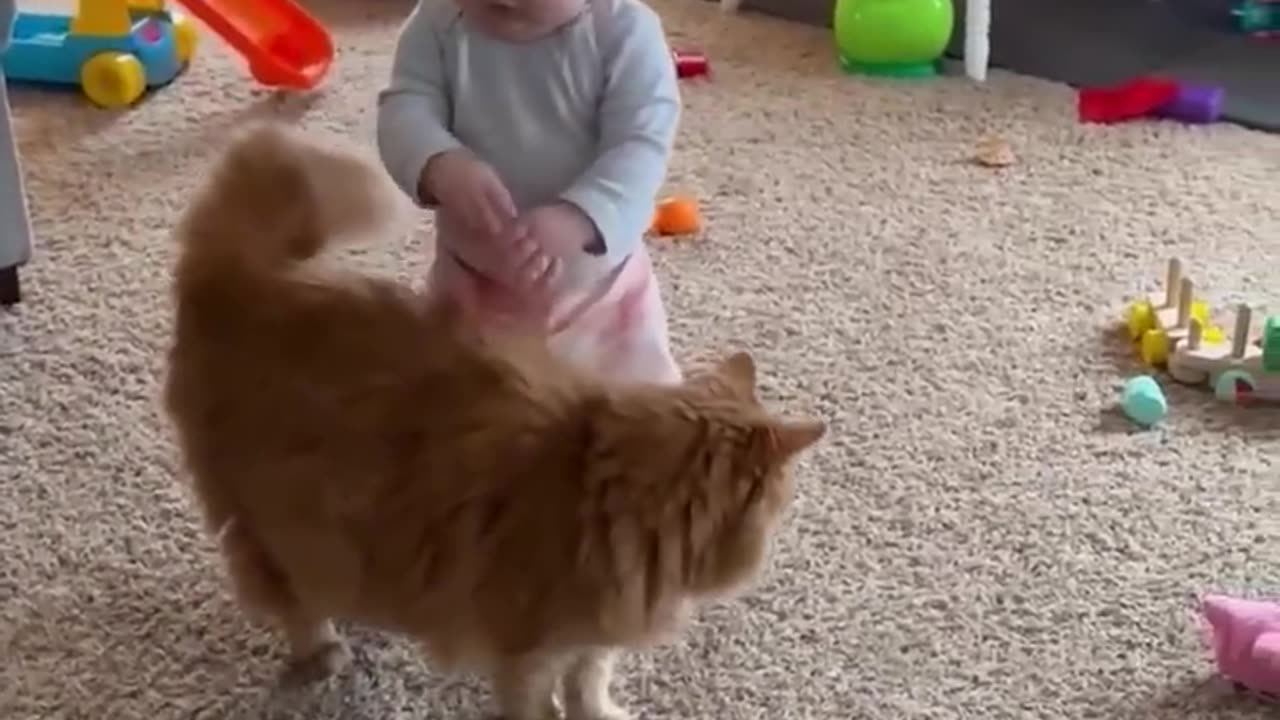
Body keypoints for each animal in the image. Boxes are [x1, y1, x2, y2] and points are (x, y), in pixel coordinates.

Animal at [165, 124, 824, 717]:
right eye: (779, 499)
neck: (607, 492)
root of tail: (238, 275)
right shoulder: (527, 653)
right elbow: (540, 703)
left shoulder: (590, 641)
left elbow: (590, 685)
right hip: (275, 525)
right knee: (290, 599)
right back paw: (322, 652)